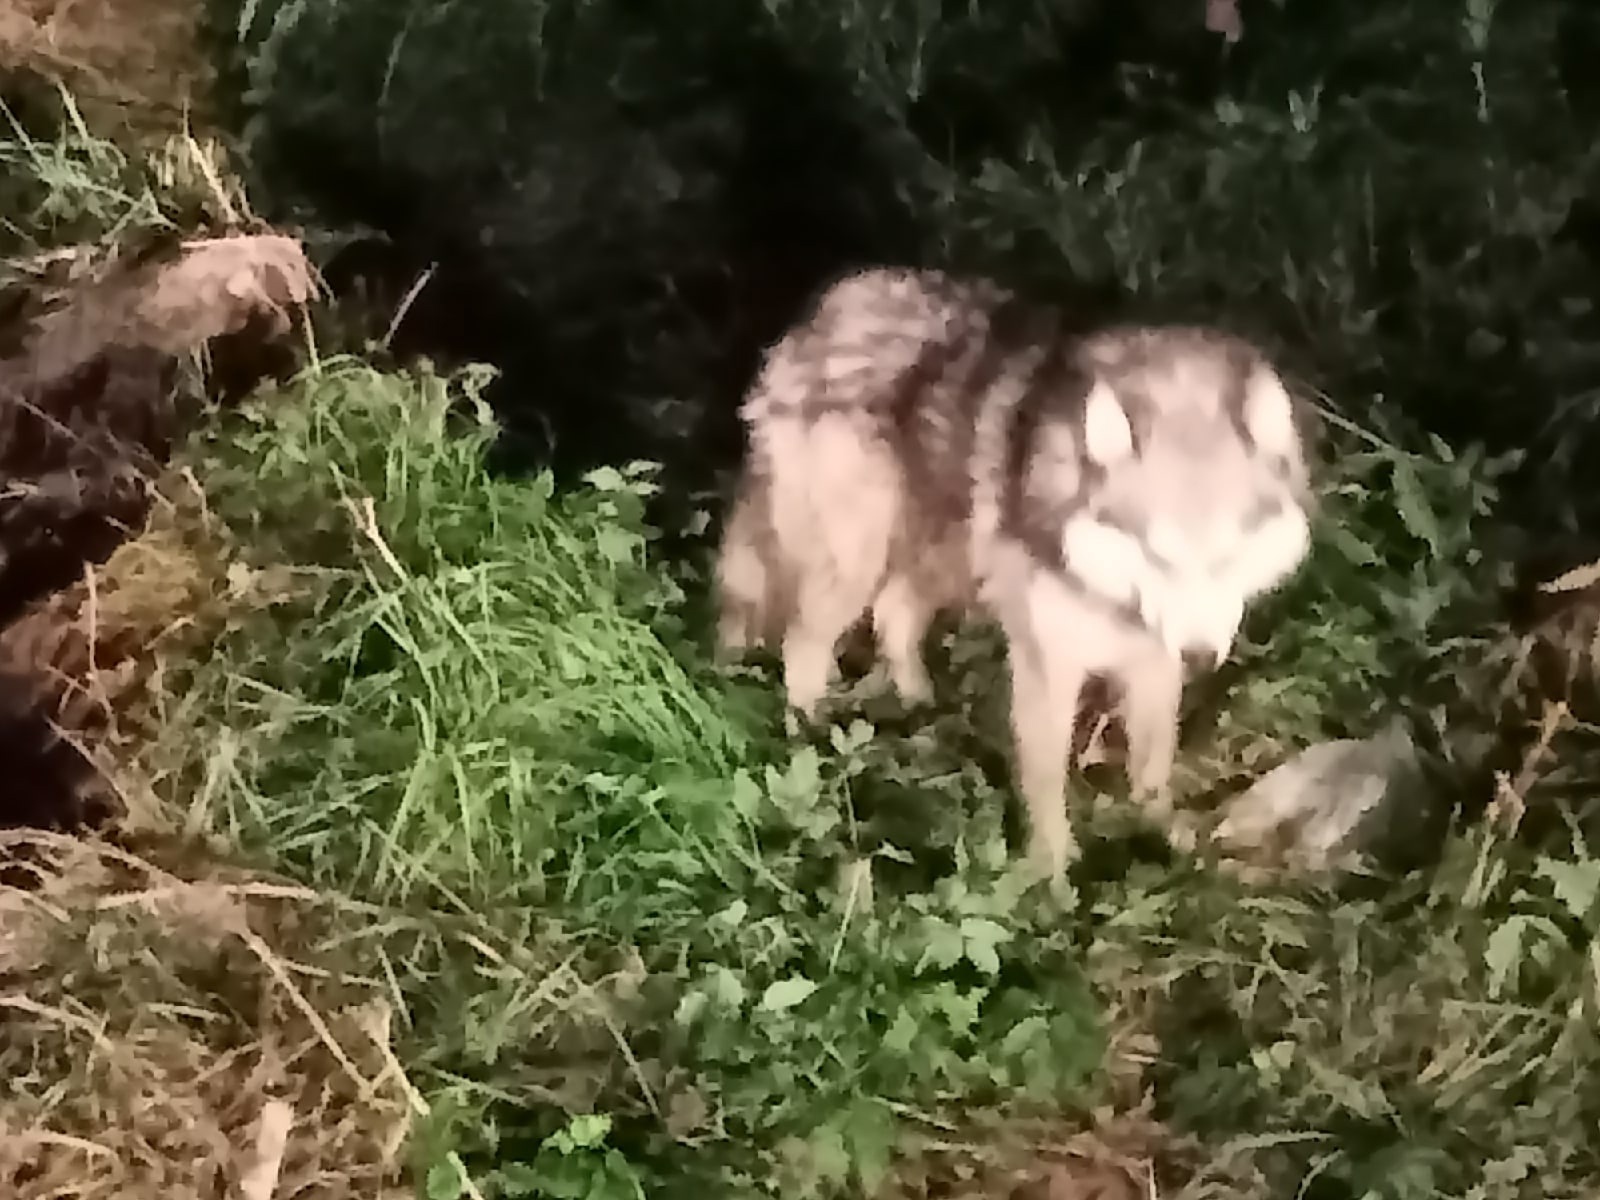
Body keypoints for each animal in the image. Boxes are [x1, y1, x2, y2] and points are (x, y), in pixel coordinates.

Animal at [716, 267, 1312, 876]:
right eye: (1155, 552)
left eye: (1229, 555)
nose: (1198, 656)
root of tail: (817, 316)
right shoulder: (1048, 666)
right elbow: (1046, 783)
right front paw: (1053, 875)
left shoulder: (1151, 660)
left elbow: (1152, 765)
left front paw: (1161, 840)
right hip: (856, 565)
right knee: (802, 646)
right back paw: (811, 738)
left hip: (926, 556)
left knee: (893, 619)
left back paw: (919, 706)